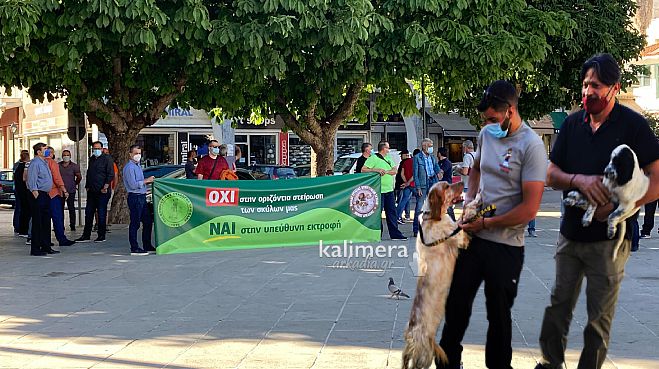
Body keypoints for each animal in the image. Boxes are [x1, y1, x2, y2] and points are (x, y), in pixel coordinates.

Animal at [400, 182, 482, 368]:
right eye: (446, 186)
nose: (462, 182)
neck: (432, 217)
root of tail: (411, 336)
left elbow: (462, 217)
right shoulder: (459, 237)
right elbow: (467, 215)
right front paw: (477, 199)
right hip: (424, 355)